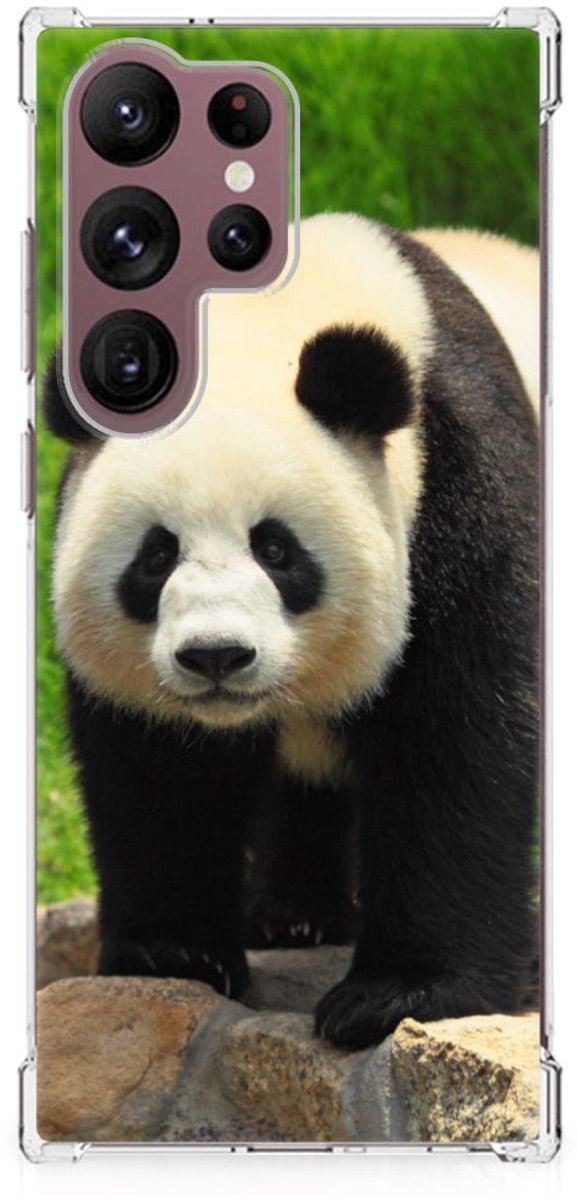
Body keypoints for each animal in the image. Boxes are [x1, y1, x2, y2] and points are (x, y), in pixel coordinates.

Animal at [45, 214, 539, 1050]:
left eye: (276, 549)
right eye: (156, 555)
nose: (216, 656)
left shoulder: (463, 486)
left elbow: (460, 738)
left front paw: (398, 994)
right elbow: (158, 768)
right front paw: (175, 953)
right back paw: (293, 917)